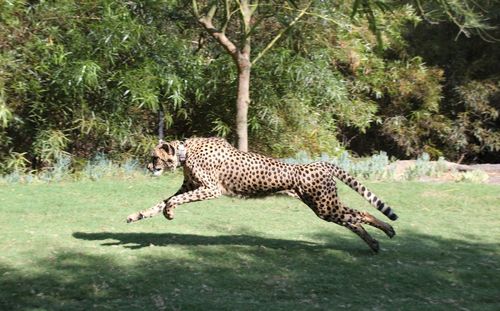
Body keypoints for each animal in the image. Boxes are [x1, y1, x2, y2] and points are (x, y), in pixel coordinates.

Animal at [128, 138, 398, 254]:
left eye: (154, 157)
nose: (149, 167)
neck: (186, 151)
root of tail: (317, 163)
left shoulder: (211, 189)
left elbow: (171, 201)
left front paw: (170, 213)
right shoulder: (191, 187)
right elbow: (160, 202)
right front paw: (136, 215)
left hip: (325, 206)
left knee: (360, 214)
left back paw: (387, 231)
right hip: (324, 207)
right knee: (353, 220)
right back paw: (375, 243)